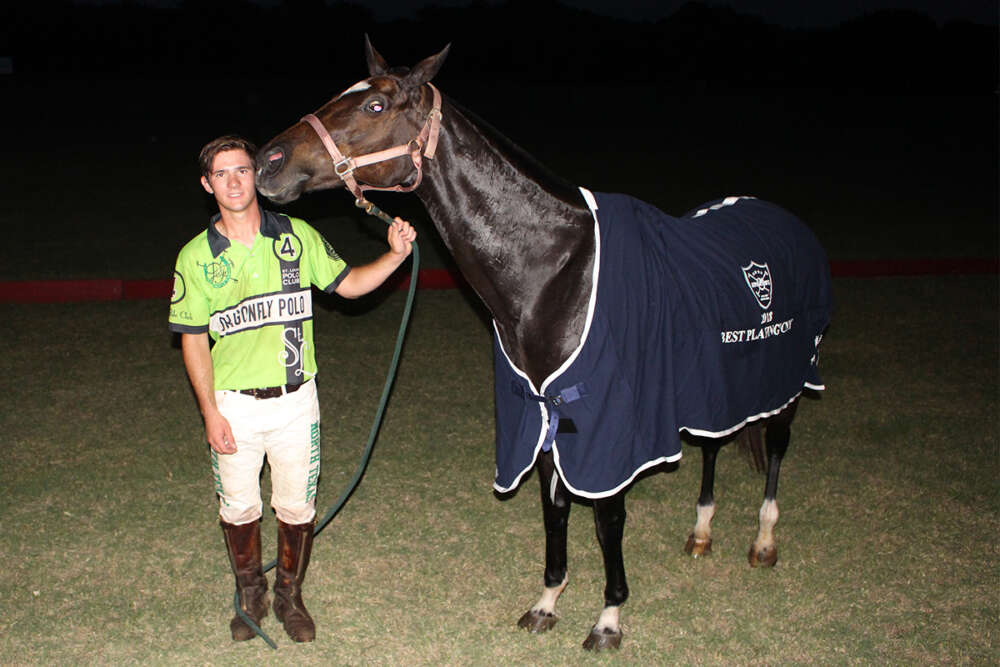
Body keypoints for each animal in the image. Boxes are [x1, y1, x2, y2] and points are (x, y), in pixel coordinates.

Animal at [256, 37, 828, 652]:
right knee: (715, 445)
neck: (559, 270)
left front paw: (608, 618)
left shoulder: (606, 424)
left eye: (375, 106)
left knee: (776, 448)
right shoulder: (545, 412)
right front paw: (547, 601)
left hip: (786, 381)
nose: (267, 161)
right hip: (715, 384)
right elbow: (555, 511)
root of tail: (784, 221)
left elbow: (606, 520)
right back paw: (701, 532)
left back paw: (764, 541)